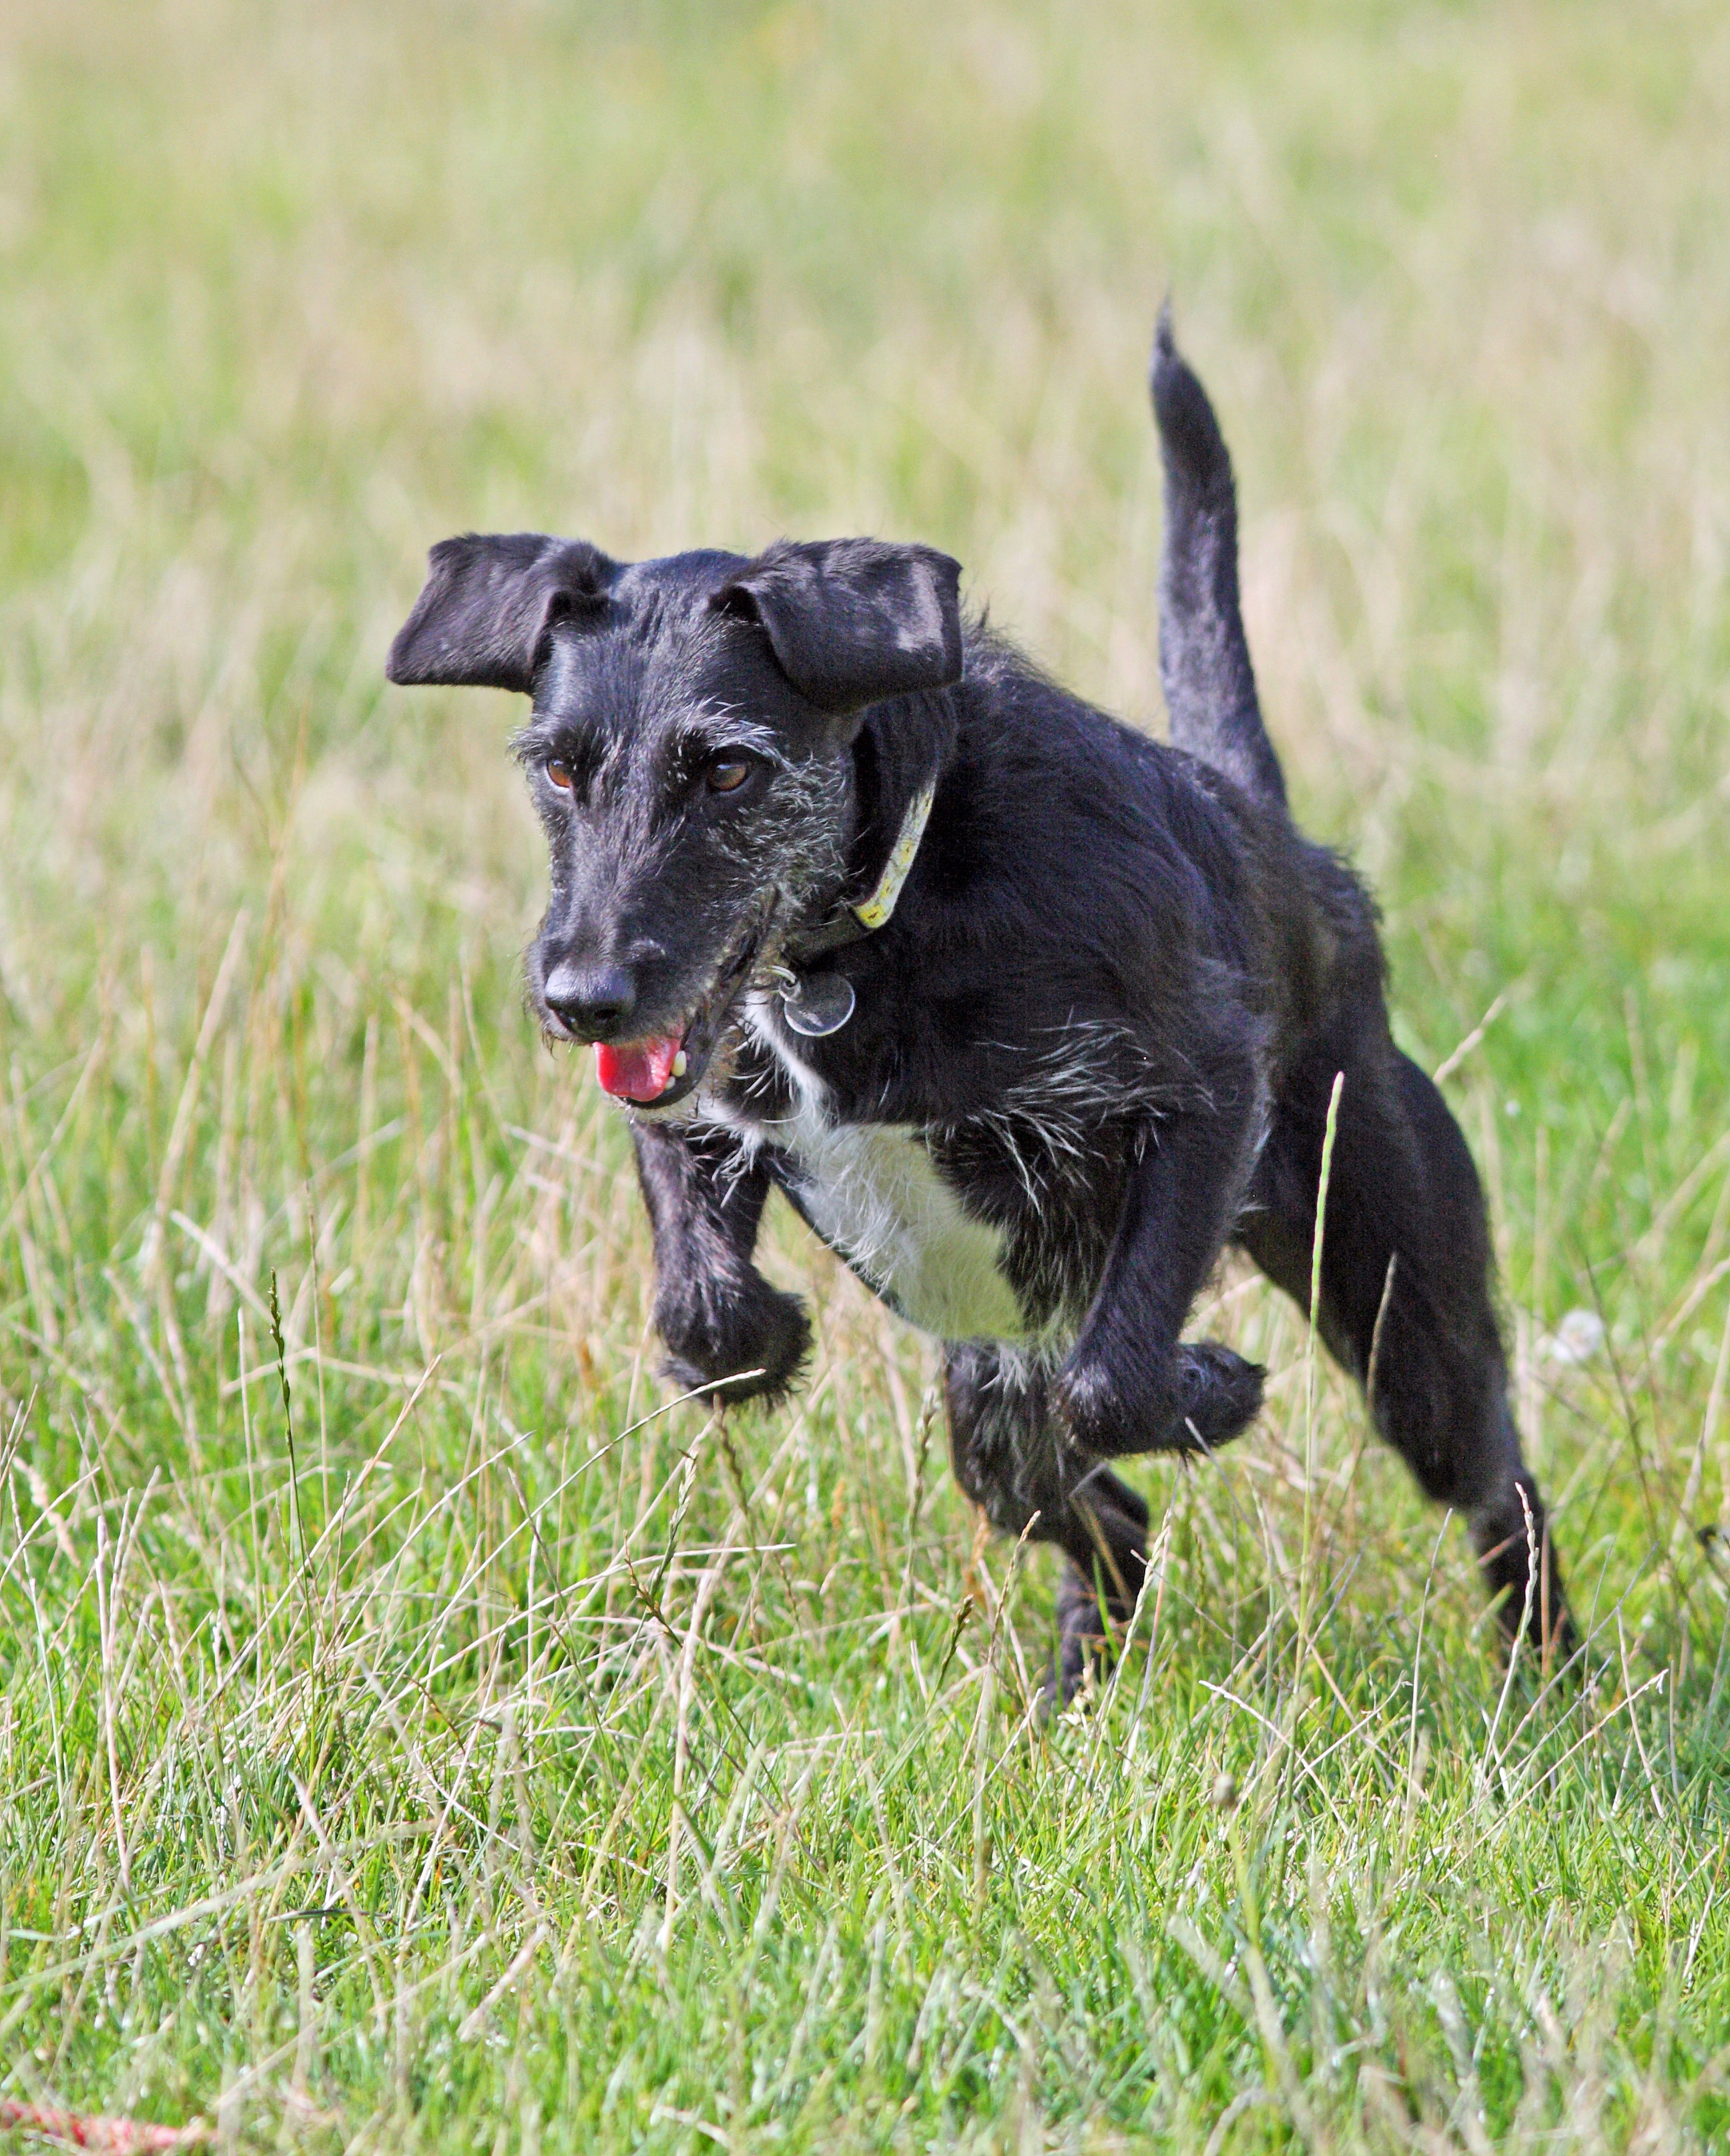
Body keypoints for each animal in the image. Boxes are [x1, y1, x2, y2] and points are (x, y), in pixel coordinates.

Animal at [384, 323, 1570, 1699]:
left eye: (726, 768)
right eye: (563, 770)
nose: (579, 1001)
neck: (862, 935)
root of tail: (1278, 837)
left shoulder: (1202, 1098)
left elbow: (1113, 1381)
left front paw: (1207, 1386)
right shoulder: (693, 1108)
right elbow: (706, 1320)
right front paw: (761, 1339)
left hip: (1393, 1302)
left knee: (1492, 1478)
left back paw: (1553, 1681)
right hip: (995, 1392)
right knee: (1092, 1508)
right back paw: (1073, 1694)